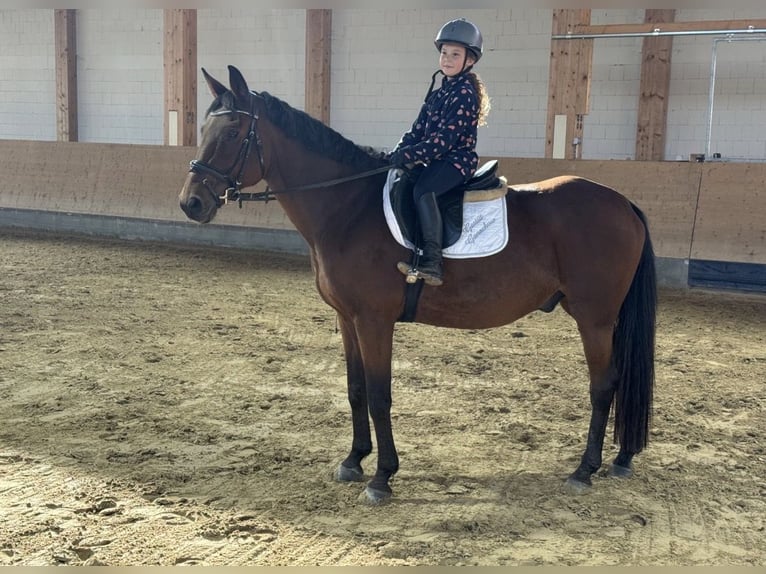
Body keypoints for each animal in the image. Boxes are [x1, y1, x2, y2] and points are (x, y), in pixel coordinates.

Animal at [179, 65, 656, 505]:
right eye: (203, 130)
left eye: (233, 131)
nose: (191, 203)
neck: (348, 209)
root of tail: (623, 203)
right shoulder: (347, 319)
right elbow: (355, 390)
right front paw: (353, 460)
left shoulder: (374, 320)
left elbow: (379, 395)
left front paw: (381, 477)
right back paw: (620, 459)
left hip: (594, 318)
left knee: (603, 385)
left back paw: (585, 469)